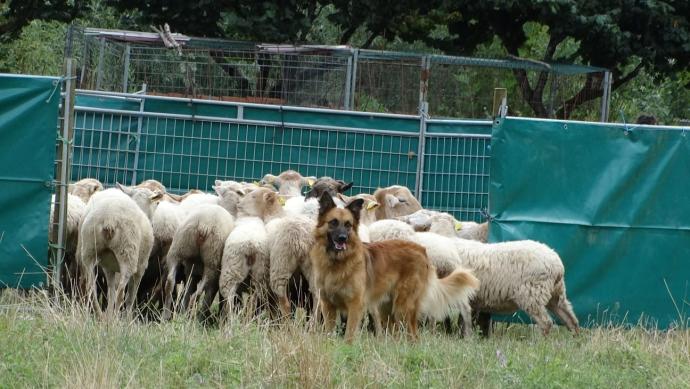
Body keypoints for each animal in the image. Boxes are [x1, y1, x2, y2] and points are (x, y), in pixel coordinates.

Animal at [78, 183, 162, 316]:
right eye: (157, 203)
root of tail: (109, 219)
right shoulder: (141, 267)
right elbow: (130, 297)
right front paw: (127, 319)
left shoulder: (109, 268)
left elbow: (110, 293)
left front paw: (109, 314)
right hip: (128, 254)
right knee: (121, 293)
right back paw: (115, 319)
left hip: (88, 251)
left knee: (91, 288)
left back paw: (100, 316)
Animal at [310, 192, 476, 342]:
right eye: (333, 222)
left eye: (348, 225)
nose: (342, 239)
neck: (337, 263)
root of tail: (421, 250)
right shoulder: (328, 306)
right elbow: (330, 334)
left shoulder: (355, 306)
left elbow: (349, 337)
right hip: (388, 307)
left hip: (404, 307)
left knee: (414, 336)